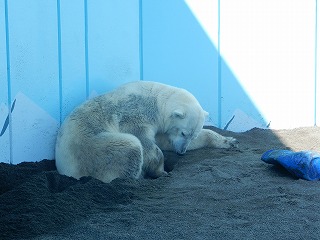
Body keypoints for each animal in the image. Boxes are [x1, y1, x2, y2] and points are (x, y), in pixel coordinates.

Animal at [55, 81, 239, 183]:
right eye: (183, 133)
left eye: (191, 135)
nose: (181, 152)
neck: (157, 101)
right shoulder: (136, 115)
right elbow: (145, 141)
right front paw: (160, 170)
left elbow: (165, 140)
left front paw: (230, 141)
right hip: (93, 149)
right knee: (129, 146)